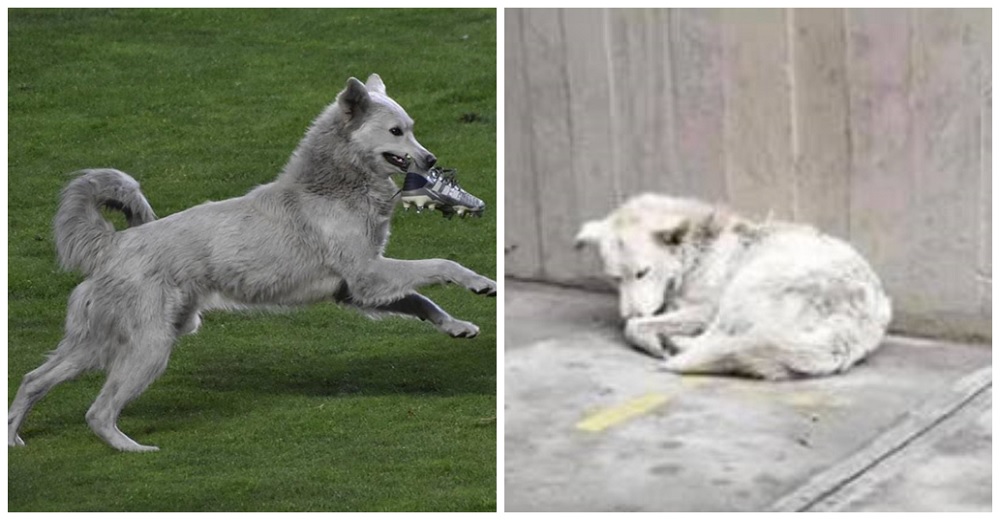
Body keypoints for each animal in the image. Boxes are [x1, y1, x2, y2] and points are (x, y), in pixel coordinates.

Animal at [4, 73, 496, 450]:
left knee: (34, 378)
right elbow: (440, 265)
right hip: (148, 347)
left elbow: (422, 302)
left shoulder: (358, 290)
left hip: (99, 343)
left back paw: (13, 438)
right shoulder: (369, 275)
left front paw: (457, 327)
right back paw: (132, 449)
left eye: (411, 128)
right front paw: (478, 282)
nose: (431, 159)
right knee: (97, 411)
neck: (331, 187)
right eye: (396, 132)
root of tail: (115, 244)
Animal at [576, 193, 896, 380]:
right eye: (615, 278)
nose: (629, 313)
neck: (698, 252)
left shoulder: (704, 309)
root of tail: (857, 321)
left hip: (748, 283)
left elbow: (635, 328)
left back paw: (676, 346)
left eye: (642, 273)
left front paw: (650, 338)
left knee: (723, 338)